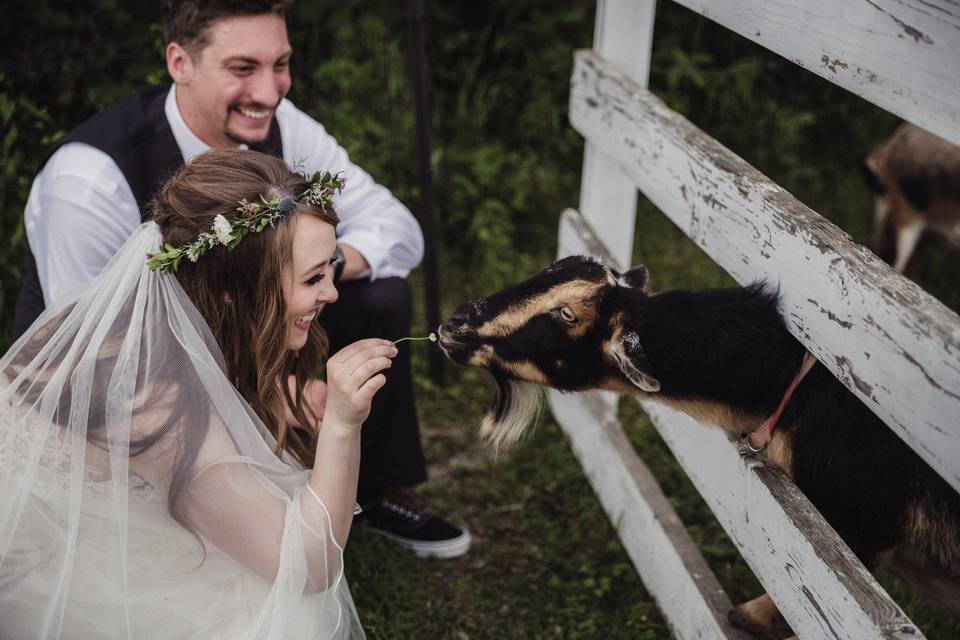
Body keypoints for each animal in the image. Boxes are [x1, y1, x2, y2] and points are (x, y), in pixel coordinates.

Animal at [438, 255, 960, 636]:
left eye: (566, 315)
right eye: (550, 269)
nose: (453, 324)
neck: (790, 386)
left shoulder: (861, 527)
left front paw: (747, 616)